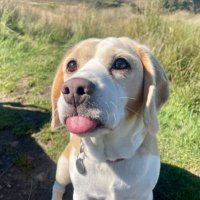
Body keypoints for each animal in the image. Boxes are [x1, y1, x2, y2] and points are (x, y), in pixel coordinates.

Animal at [50, 37, 169, 200]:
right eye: (71, 65)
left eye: (120, 63)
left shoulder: (145, 194)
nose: (73, 89)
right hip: (63, 170)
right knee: (57, 187)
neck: (109, 159)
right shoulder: (81, 194)